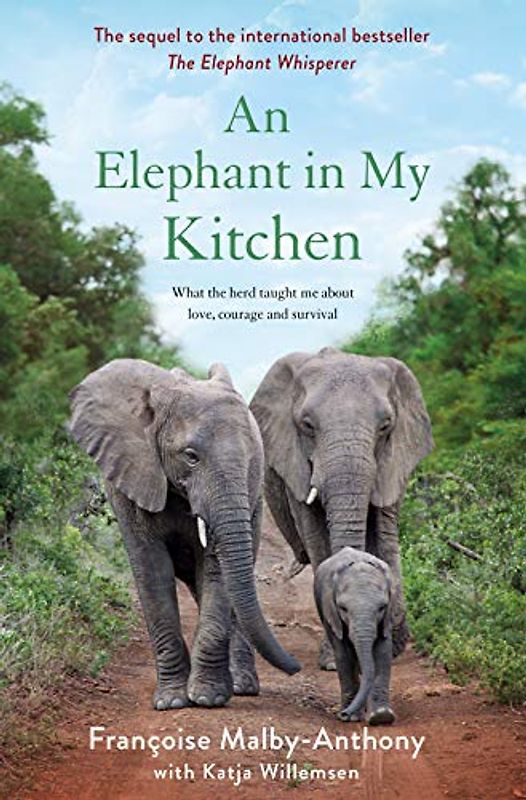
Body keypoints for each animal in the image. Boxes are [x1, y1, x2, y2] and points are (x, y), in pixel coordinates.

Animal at [69, 358, 300, 711]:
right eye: (191, 456)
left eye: (251, 460)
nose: (296, 668)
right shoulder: (129, 479)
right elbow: (152, 572)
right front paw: (171, 701)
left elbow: (216, 571)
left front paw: (207, 697)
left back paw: (242, 686)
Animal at [250, 347, 433, 667]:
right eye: (307, 425)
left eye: (385, 425)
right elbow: (317, 539)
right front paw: (334, 660)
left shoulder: (393, 461)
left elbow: (385, 537)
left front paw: (392, 646)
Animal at [314, 547, 395, 724]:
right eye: (343, 608)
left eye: (382, 607)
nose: (344, 714)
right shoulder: (331, 612)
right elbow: (343, 655)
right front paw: (351, 717)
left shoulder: (387, 617)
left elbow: (383, 651)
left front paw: (381, 716)